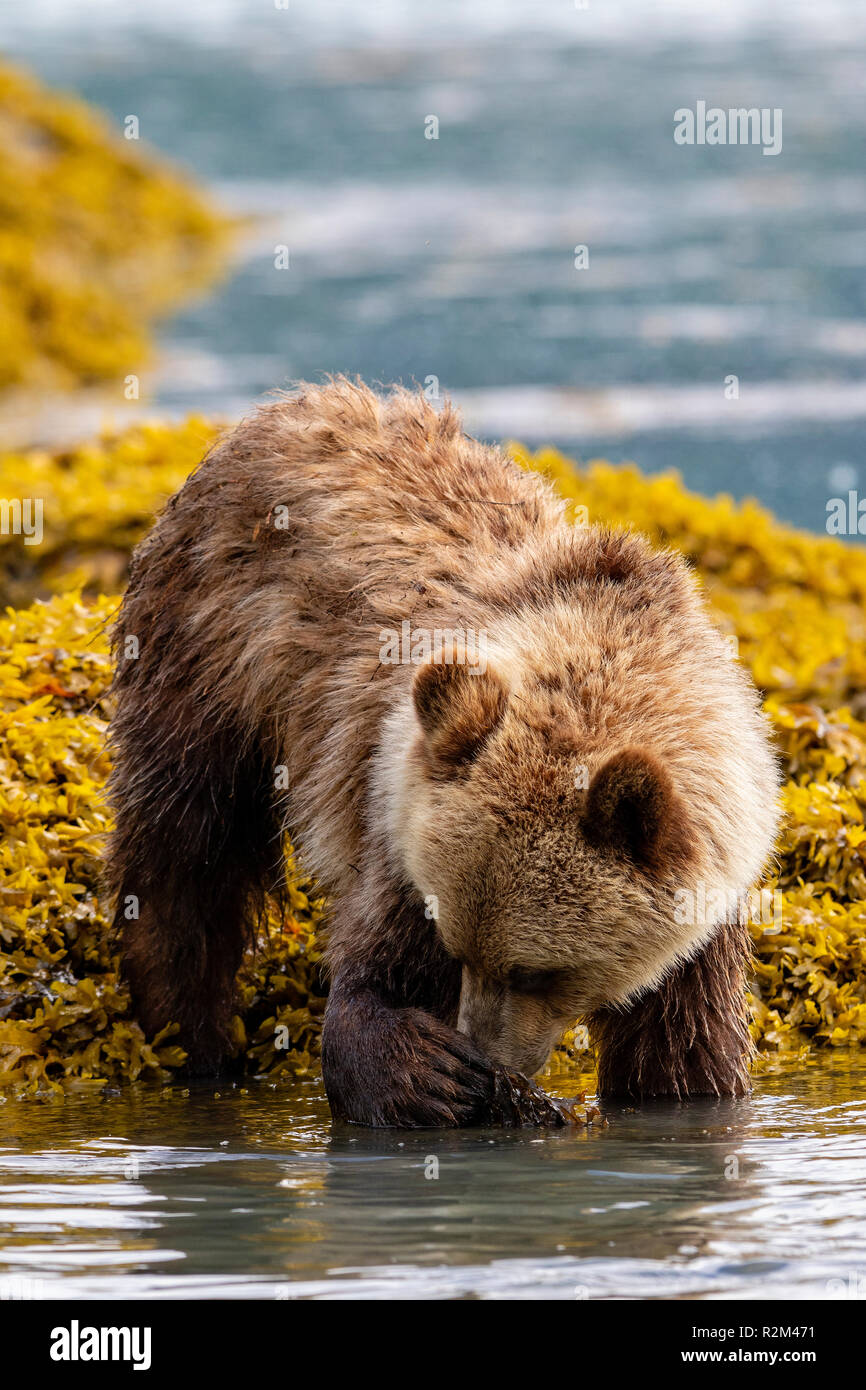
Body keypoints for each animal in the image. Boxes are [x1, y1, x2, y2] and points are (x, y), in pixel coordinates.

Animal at [104, 378, 783, 1128]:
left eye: (539, 971)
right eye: (456, 943)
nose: (485, 1051)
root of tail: (286, 404)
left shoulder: (704, 918)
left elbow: (684, 1059)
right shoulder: (397, 814)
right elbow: (373, 972)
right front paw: (427, 1071)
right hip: (211, 654)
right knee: (186, 851)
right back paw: (188, 1038)